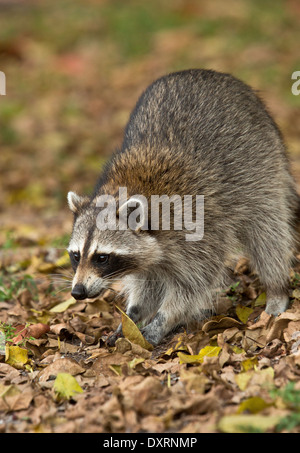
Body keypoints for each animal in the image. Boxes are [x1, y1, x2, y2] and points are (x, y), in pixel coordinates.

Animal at [67, 67, 298, 344]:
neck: (123, 190)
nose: (78, 292)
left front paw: (162, 321)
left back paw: (276, 288)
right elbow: (148, 280)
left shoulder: (198, 227)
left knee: (267, 233)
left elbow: (194, 283)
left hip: (260, 166)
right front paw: (132, 316)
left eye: (101, 258)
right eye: (76, 255)